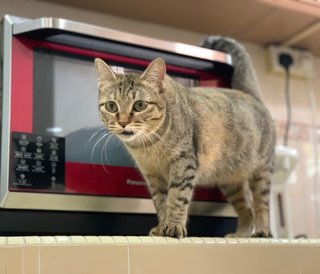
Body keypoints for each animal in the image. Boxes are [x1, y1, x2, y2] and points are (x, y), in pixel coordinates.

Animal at [94, 35, 276, 238]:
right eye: (111, 106)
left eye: (140, 105)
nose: (123, 122)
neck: (148, 146)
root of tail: (251, 96)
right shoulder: (152, 176)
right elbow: (161, 202)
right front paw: (162, 227)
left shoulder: (184, 162)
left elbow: (177, 197)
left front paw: (173, 226)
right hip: (231, 183)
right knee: (248, 210)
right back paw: (240, 234)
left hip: (261, 173)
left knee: (261, 206)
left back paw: (262, 231)